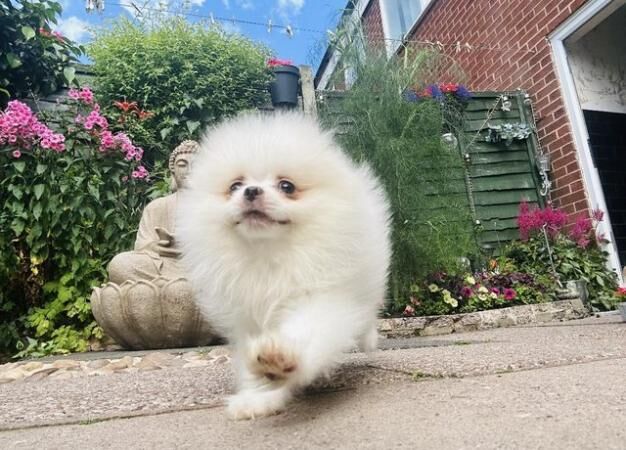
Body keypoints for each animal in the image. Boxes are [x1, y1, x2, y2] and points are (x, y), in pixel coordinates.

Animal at [177, 110, 390, 420]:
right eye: (235, 186)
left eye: (286, 186)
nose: (251, 191)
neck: (268, 255)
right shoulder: (247, 319)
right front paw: (259, 397)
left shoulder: (322, 297)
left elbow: (307, 329)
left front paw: (280, 359)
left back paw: (369, 338)